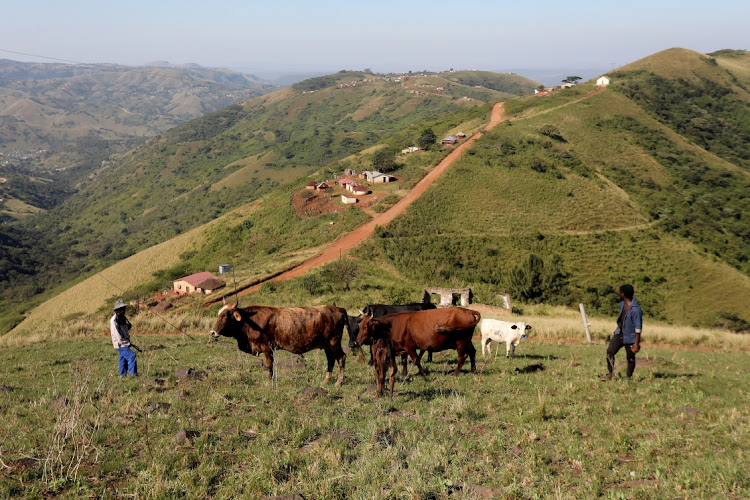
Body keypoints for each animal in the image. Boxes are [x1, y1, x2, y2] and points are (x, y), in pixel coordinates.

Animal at [212, 300, 350, 386]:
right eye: (219, 313)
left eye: (226, 315)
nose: (212, 332)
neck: (249, 321)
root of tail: (336, 308)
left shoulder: (267, 347)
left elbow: (269, 365)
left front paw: (269, 381)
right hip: (327, 345)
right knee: (331, 360)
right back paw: (326, 380)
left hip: (334, 343)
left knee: (341, 357)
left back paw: (339, 382)